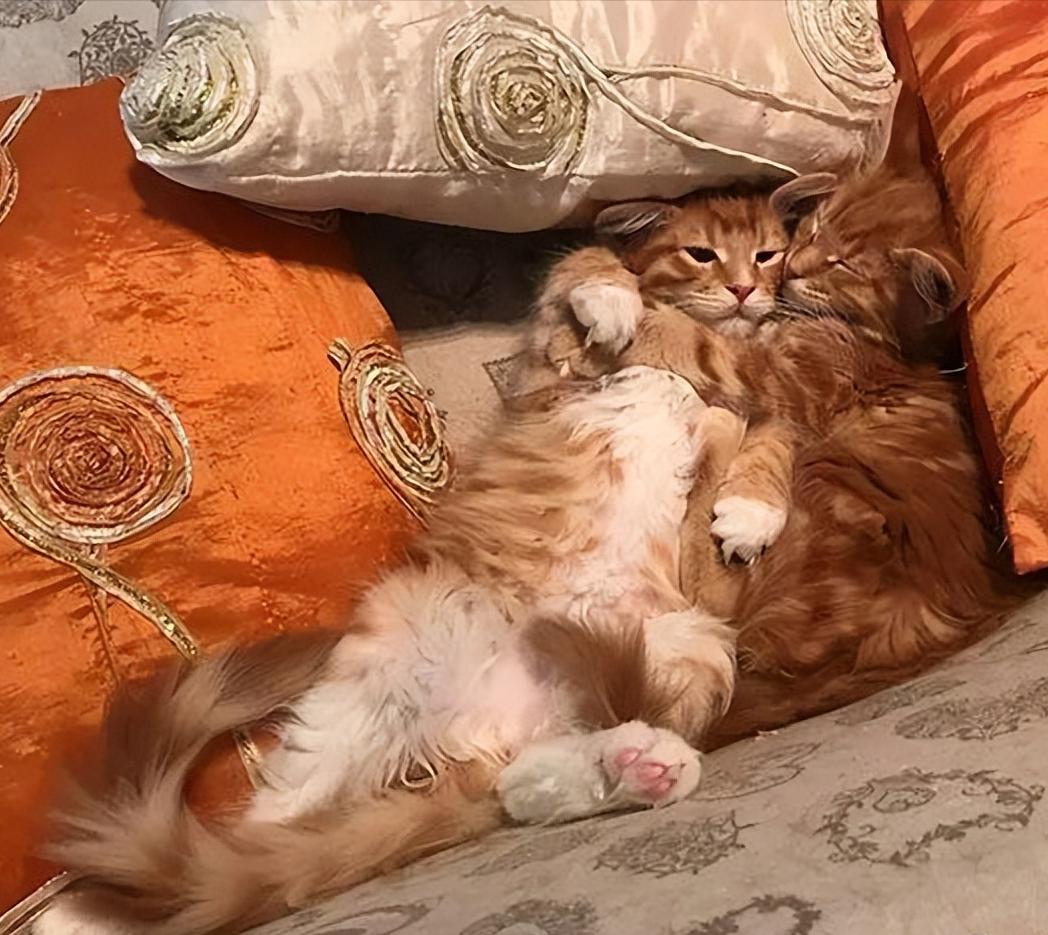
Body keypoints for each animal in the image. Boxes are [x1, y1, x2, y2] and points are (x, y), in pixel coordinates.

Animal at [35, 365, 744, 935]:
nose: (666, 374)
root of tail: (490, 723)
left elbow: (715, 437)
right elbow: (701, 427)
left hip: (687, 649)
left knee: (525, 782)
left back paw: (641, 766)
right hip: (371, 690)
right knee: (262, 834)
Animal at [522, 164, 1023, 750]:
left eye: (842, 264)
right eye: (812, 232)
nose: (786, 271)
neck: (890, 345)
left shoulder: (773, 381)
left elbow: (686, 339)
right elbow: (600, 261)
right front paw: (596, 295)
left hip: (823, 485)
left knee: (706, 595)